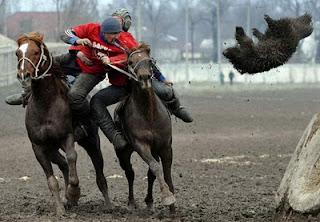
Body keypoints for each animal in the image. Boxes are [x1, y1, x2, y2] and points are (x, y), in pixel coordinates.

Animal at [15, 31, 114, 215]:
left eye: (36, 52)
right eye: (17, 53)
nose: (24, 76)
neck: (45, 104)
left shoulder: (67, 137)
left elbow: (72, 158)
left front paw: (74, 194)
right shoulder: (39, 147)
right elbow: (52, 180)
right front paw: (60, 208)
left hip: (91, 141)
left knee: (98, 170)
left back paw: (108, 205)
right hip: (52, 149)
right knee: (63, 164)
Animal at [114, 42, 176, 214]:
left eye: (149, 61)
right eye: (130, 62)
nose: (144, 78)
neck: (149, 114)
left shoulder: (165, 146)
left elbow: (165, 173)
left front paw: (172, 207)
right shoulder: (141, 145)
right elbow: (155, 167)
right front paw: (168, 197)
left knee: (149, 174)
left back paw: (149, 201)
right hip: (123, 152)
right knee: (129, 172)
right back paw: (131, 202)